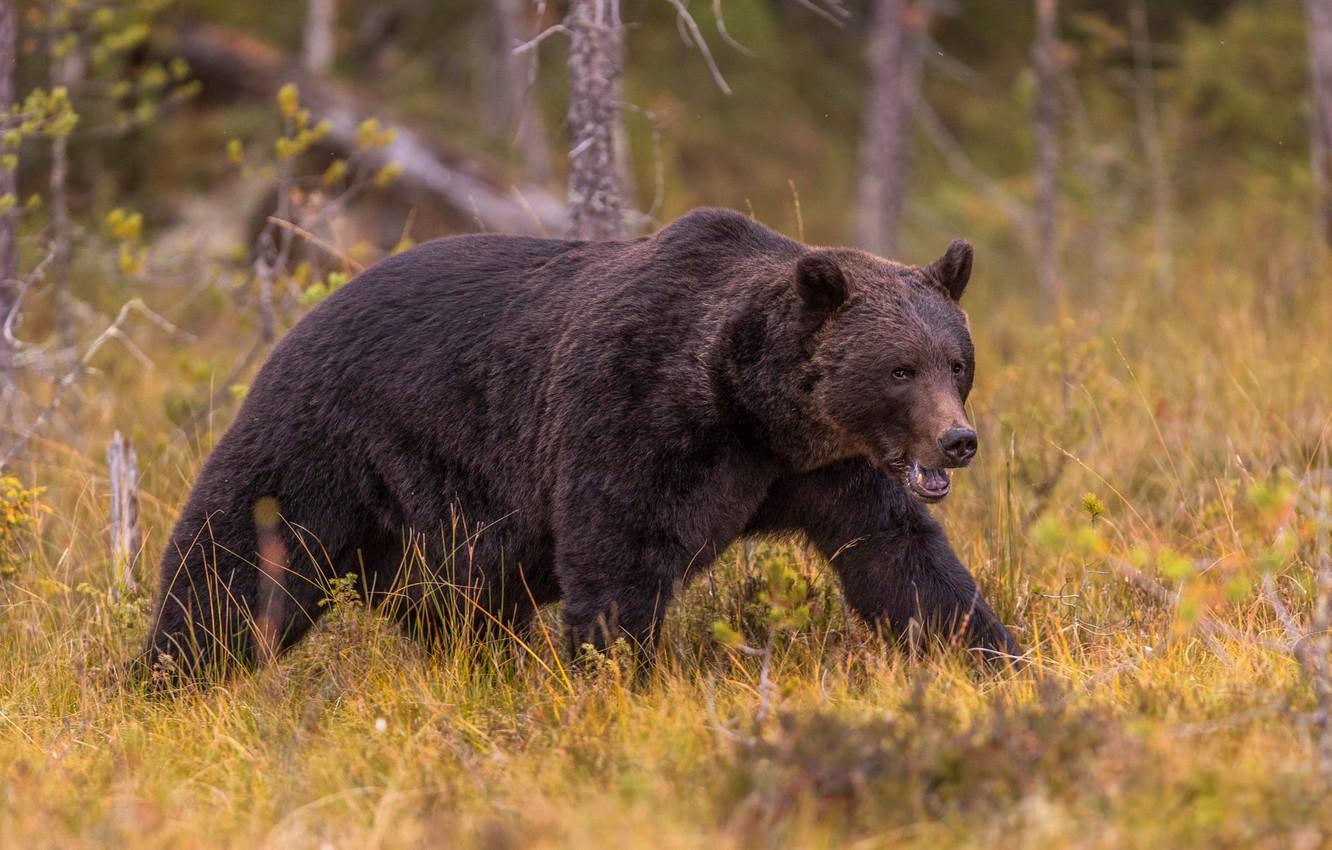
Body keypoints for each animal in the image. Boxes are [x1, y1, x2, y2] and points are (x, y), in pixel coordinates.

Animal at [143, 210, 1017, 682]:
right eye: (899, 368)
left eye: (956, 360)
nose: (957, 440)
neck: (752, 410)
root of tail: (302, 315)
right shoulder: (636, 412)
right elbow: (618, 554)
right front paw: (615, 677)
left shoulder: (827, 472)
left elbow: (902, 563)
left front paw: (996, 655)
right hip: (324, 444)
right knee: (235, 569)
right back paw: (164, 676)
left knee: (453, 601)